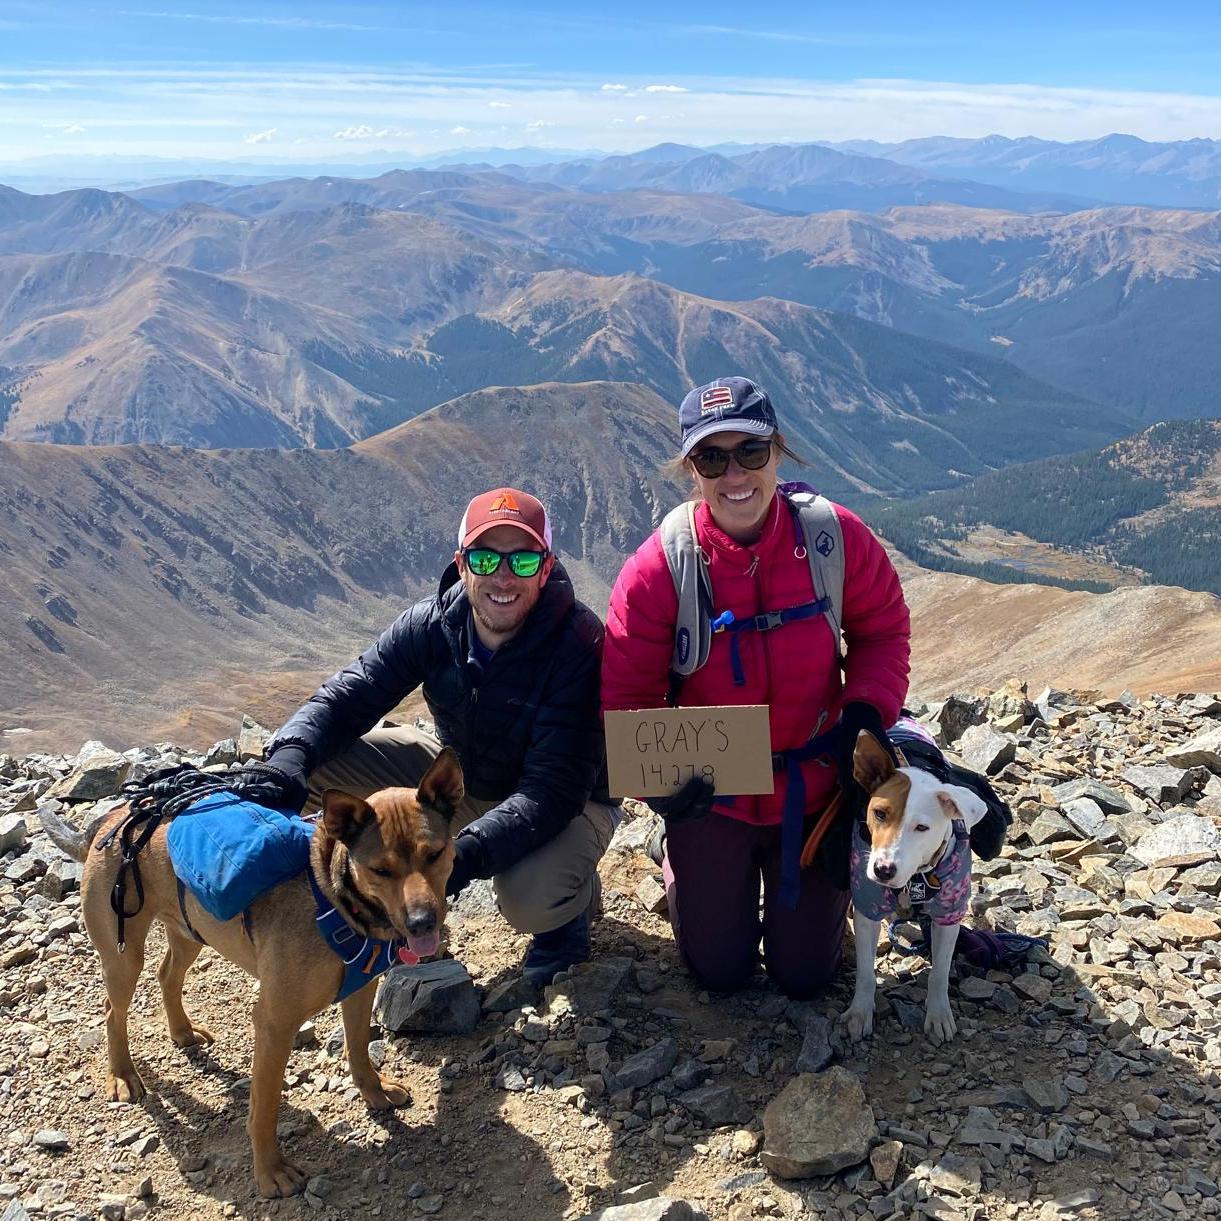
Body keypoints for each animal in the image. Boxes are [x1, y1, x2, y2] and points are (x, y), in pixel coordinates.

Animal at [41, 747, 461, 1196]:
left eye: (434, 854)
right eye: (381, 870)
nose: (422, 923)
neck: (338, 901)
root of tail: (109, 819)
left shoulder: (360, 989)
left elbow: (359, 1050)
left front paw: (375, 1091)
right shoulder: (275, 1023)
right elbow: (265, 1109)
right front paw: (270, 1171)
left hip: (192, 929)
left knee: (167, 974)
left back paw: (182, 1031)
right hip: (124, 954)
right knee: (112, 1010)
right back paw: (122, 1074)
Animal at [844, 727, 986, 1045]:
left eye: (922, 828)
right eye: (880, 813)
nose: (883, 870)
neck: (913, 879)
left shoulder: (949, 914)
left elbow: (939, 973)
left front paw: (939, 1016)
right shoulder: (868, 909)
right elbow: (865, 972)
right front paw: (860, 1012)